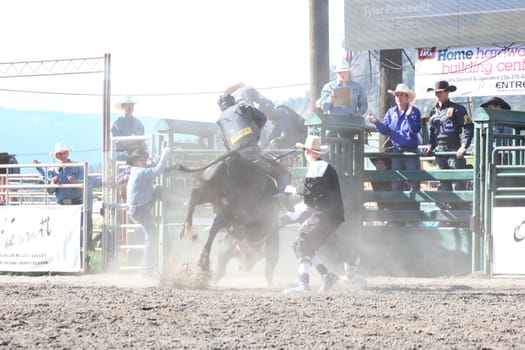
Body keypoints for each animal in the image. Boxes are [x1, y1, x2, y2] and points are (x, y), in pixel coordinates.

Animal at [176, 150, 280, 284]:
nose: (244, 267)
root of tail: (235, 159)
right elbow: (269, 268)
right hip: (231, 206)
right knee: (216, 225)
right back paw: (204, 261)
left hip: (209, 187)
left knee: (194, 198)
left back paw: (187, 228)